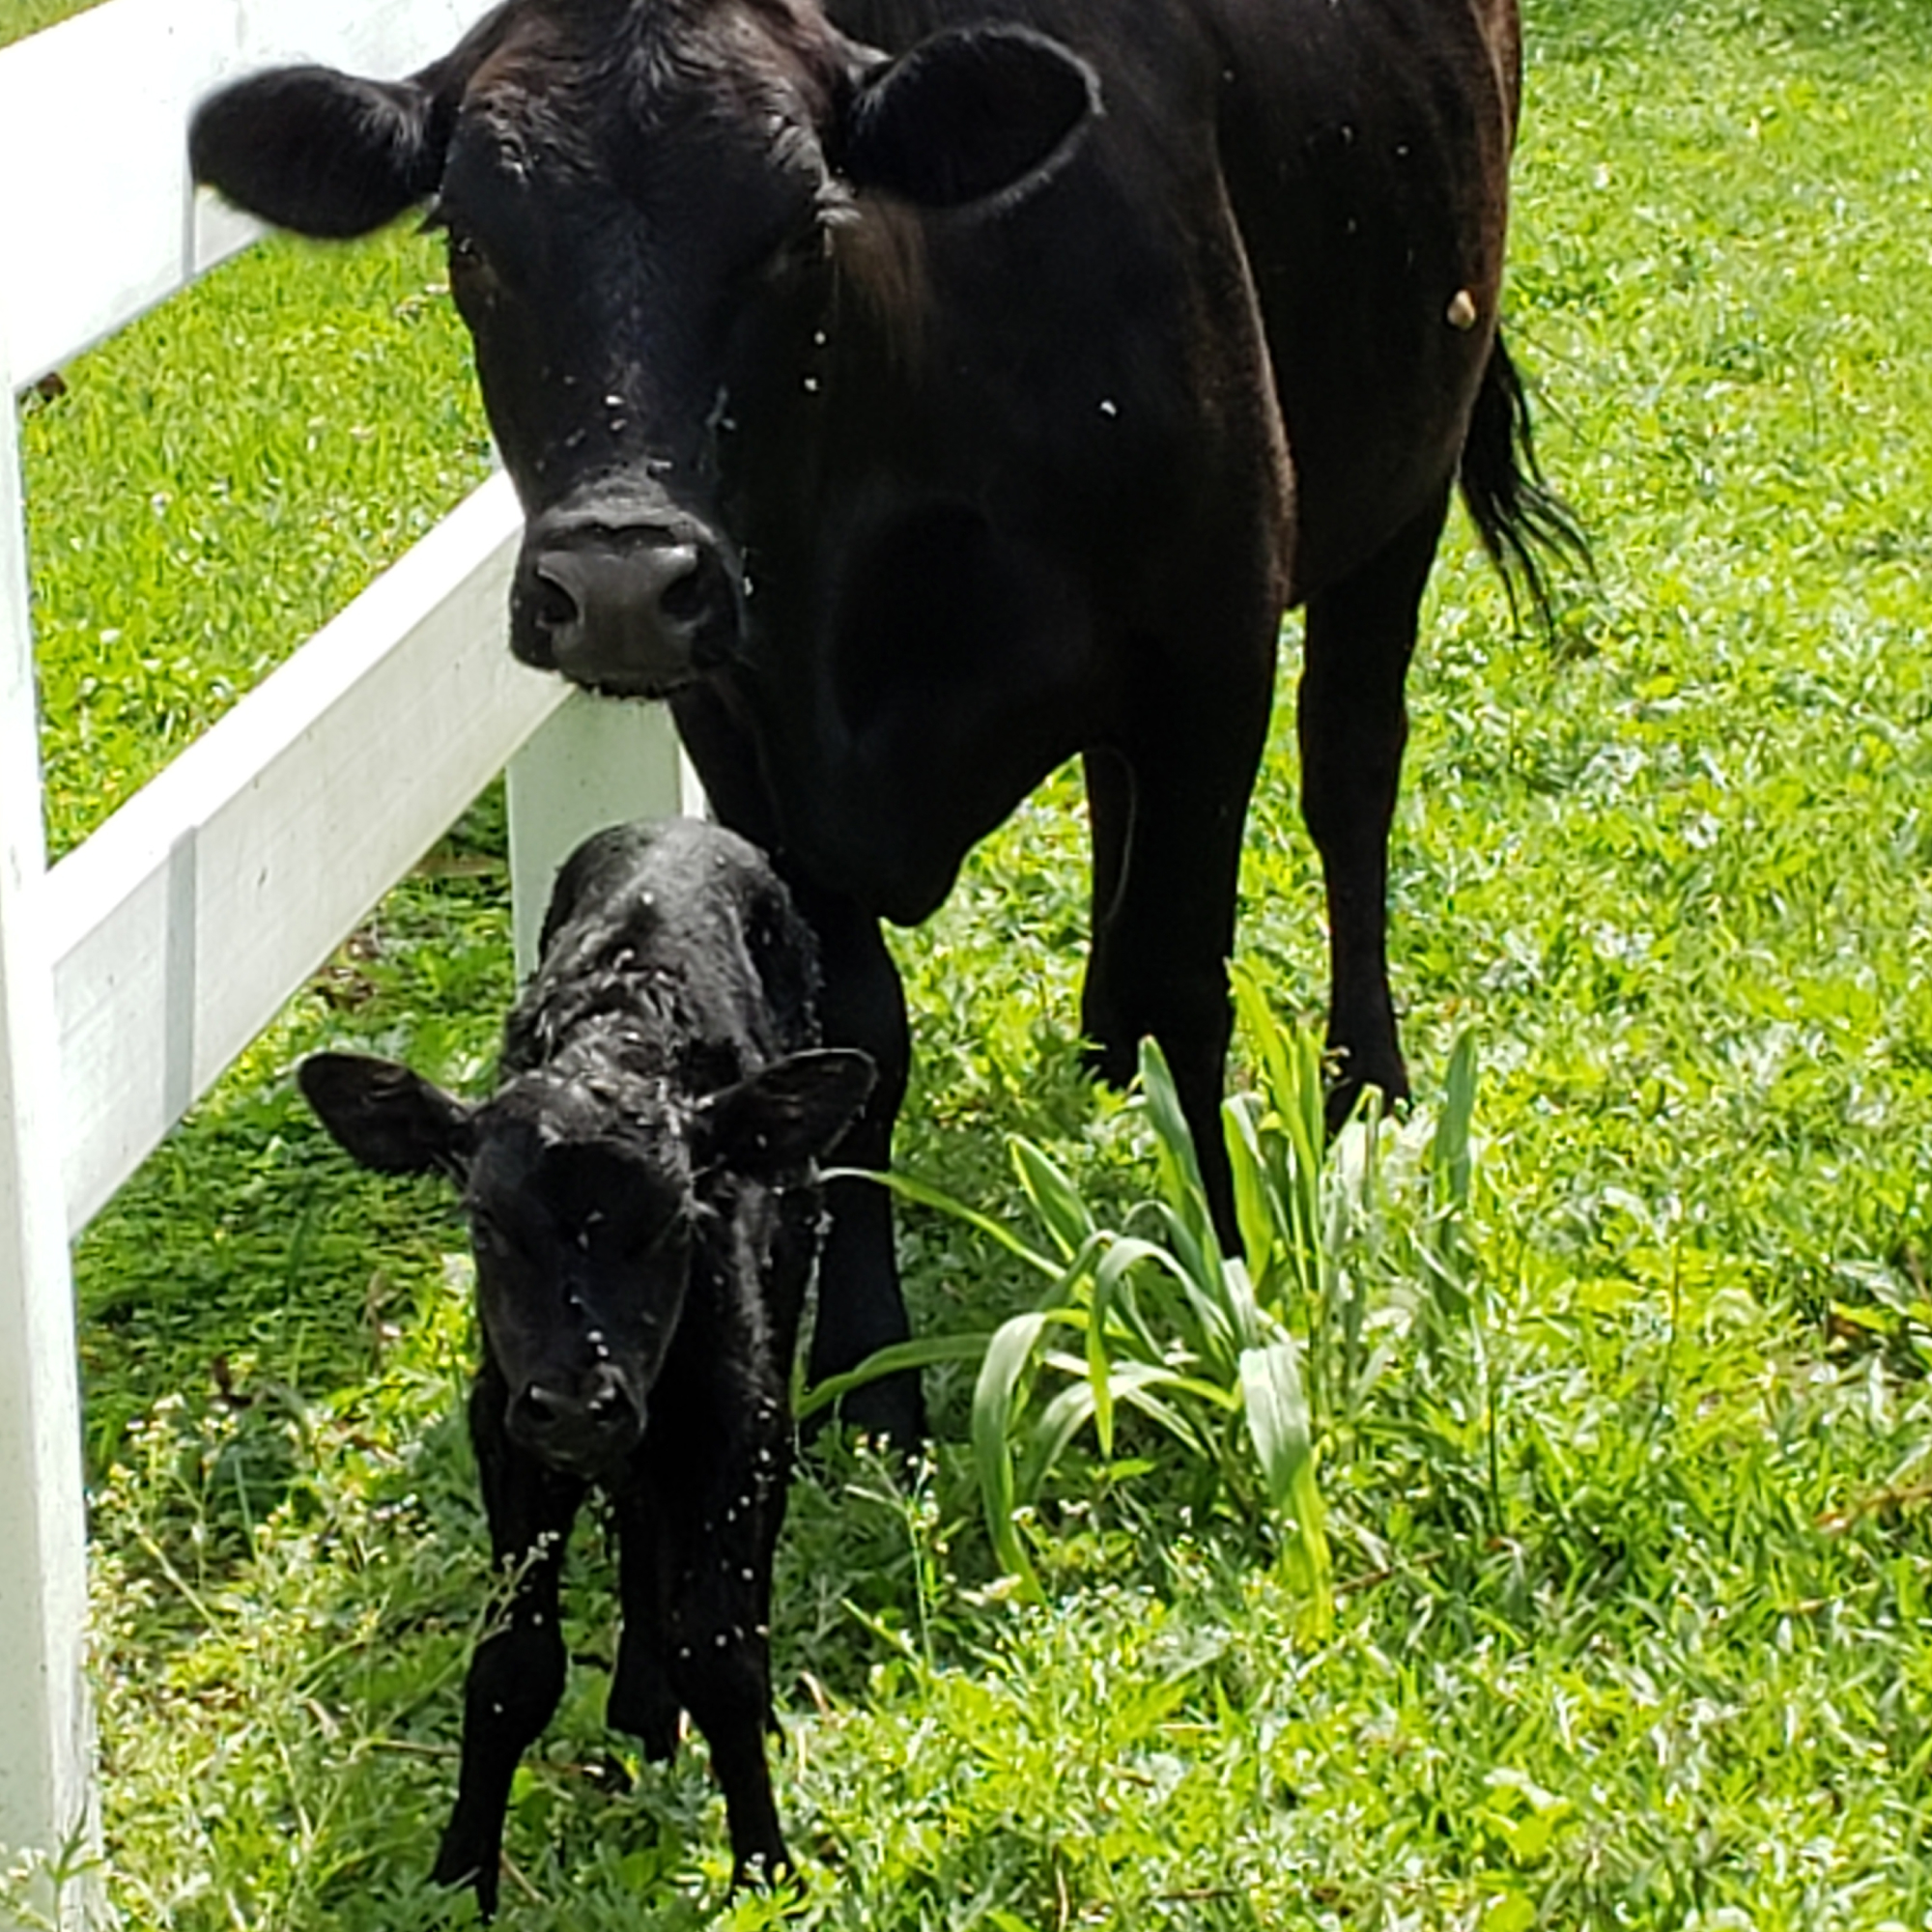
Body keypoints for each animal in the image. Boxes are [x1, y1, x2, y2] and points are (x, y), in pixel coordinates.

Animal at [192, 0, 1569, 1453]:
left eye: (804, 225)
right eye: (466, 236)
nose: (619, 582)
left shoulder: (1209, 646)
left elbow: (1187, 978)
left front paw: (1223, 1292)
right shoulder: (740, 722)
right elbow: (852, 1041)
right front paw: (868, 1370)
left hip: (1406, 466)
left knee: (1350, 769)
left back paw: (1370, 1072)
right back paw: (1101, 1046)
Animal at [303, 819, 877, 1917]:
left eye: (675, 1219)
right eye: (484, 1220)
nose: (576, 1402)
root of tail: (678, 827)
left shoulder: (732, 1413)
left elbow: (723, 1650)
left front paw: (765, 1867)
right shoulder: (507, 1425)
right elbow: (510, 1664)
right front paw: (460, 1878)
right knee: (639, 1518)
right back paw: (639, 1711)